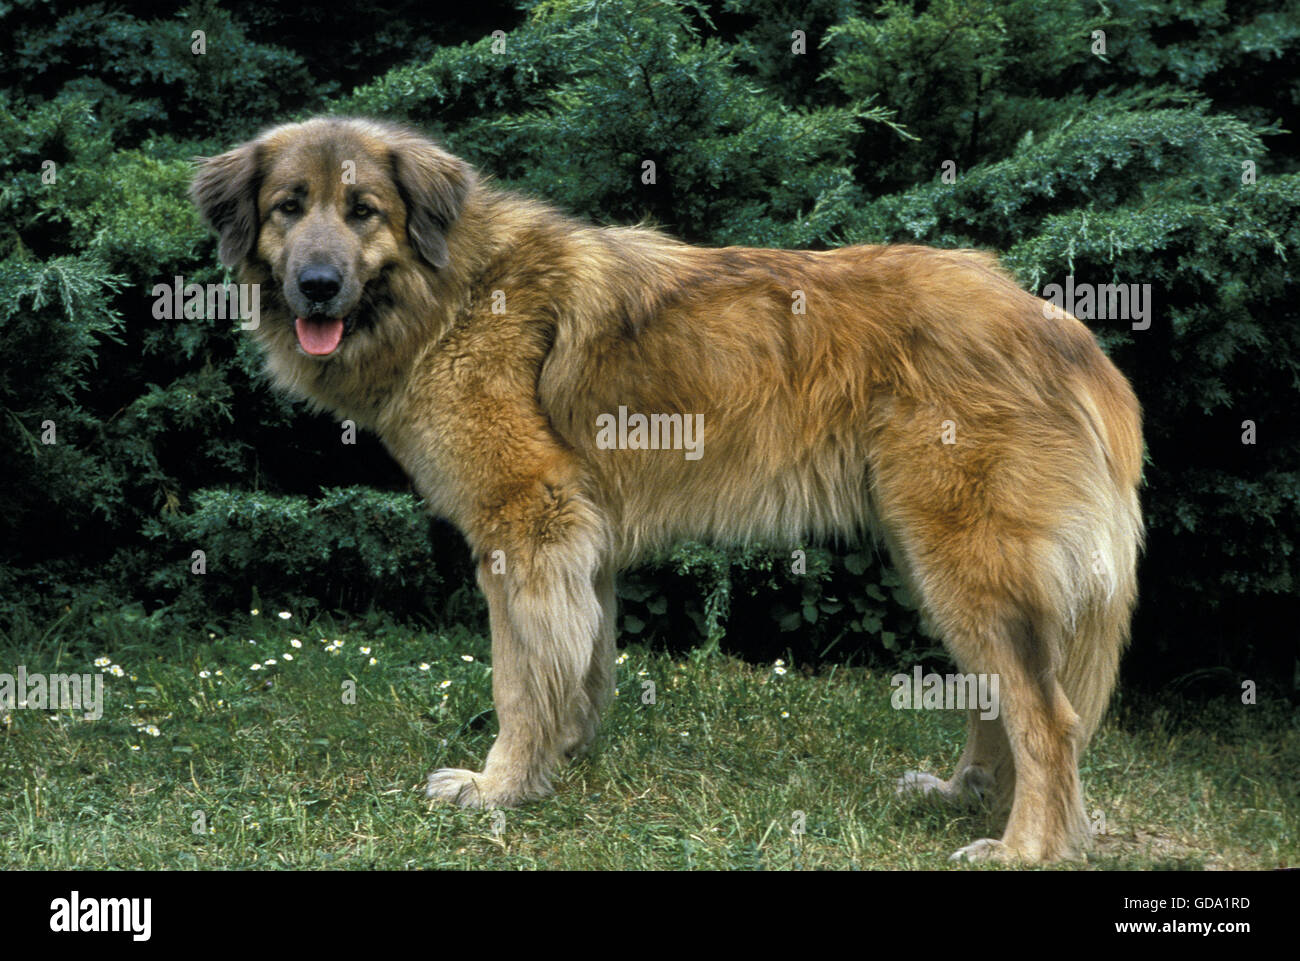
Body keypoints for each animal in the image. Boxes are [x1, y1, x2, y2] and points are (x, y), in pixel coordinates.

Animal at [188, 114, 1144, 863]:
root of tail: (1061, 328)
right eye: (289, 208)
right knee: (1003, 698)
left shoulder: (528, 524)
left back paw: (1023, 845)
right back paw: (966, 793)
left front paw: (499, 787)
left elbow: (518, 676)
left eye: (363, 211)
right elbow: (582, 660)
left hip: (961, 557)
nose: (317, 285)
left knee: (1048, 717)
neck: (454, 288)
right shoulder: (582, 543)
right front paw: (561, 758)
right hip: (934, 558)